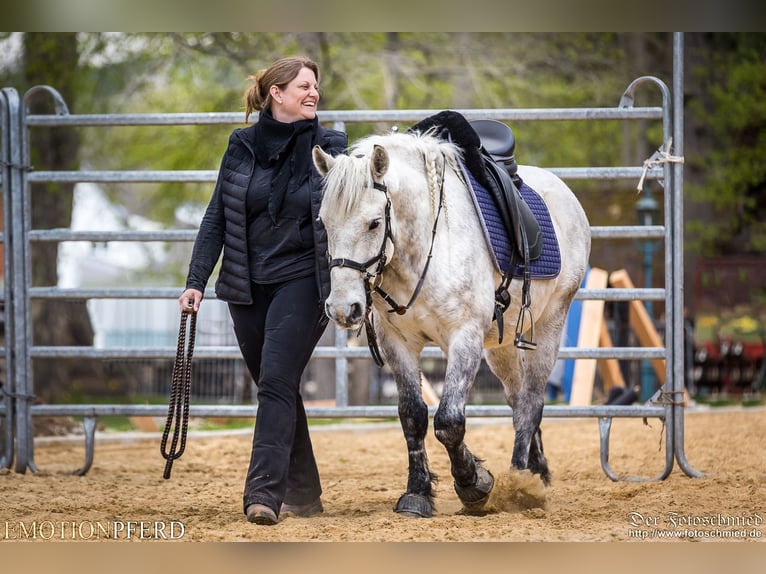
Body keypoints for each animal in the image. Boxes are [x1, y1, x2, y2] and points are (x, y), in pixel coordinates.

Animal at [313, 128, 591, 518]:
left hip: (550, 326)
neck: (423, 251)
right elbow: (412, 416)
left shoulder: (465, 338)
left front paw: (474, 483)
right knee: (518, 397)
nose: (343, 308)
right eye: (324, 223)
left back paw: (519, 483)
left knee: (530, 402)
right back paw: (535, 471)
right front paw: (417, 492)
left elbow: (448, 421)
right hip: (500, 348)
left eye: (374, 222)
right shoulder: (397, 343)